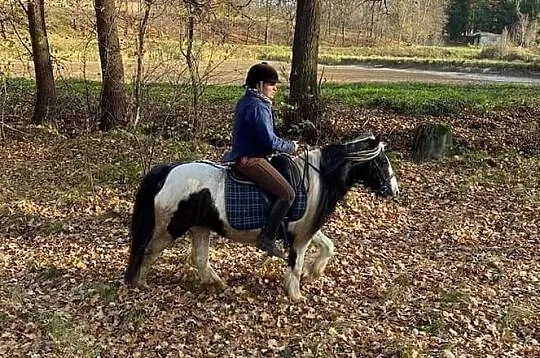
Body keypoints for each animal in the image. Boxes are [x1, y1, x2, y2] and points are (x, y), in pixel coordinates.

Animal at [124, 134, 398, 300]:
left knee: (199, 259)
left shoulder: (305, 229)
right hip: (170, 227)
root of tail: (168, 171)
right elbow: (296, 263)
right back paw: (141, 283)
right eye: (382, 162)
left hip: (200, 226)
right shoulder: (300, 237)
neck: (315, 178)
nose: (394, 190)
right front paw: (295, 294)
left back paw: (217, 284)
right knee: (149, 251)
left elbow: (328, 246)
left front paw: (314, 273)